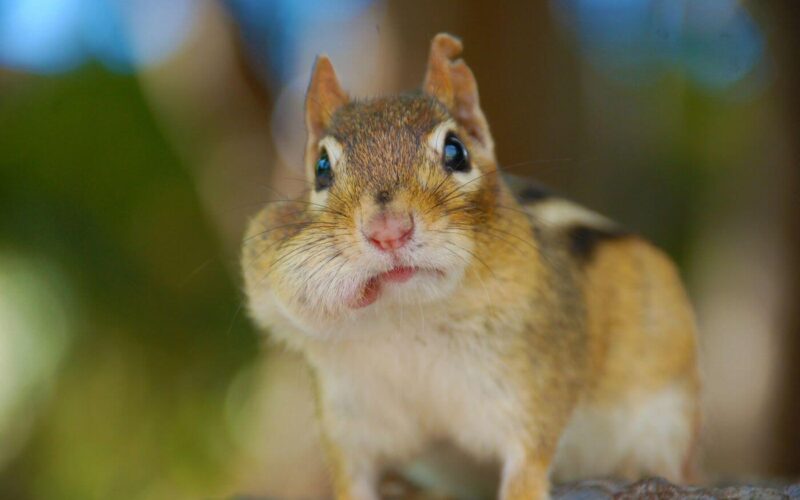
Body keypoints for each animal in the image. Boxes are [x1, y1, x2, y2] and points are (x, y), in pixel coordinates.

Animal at [242, 33, 700, 500]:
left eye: (455, 151)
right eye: (321, 168)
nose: (388, 231)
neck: (408, 324)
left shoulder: (532, 391)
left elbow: (527, 466)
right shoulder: (350, 426)